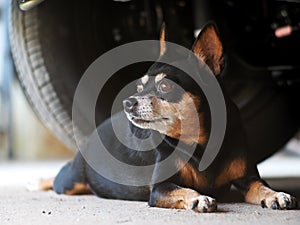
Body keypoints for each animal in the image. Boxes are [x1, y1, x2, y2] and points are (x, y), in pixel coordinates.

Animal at [40, 22, 298, 212]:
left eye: (165, 86)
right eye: (140, 87)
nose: (127, 102)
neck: (199, 140)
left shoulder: (248, 179)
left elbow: (261, 187)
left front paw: (277, 194)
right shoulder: (161, 189)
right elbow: (183, 190)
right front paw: (198, 198)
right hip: (70, 181)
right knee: (57, 178)